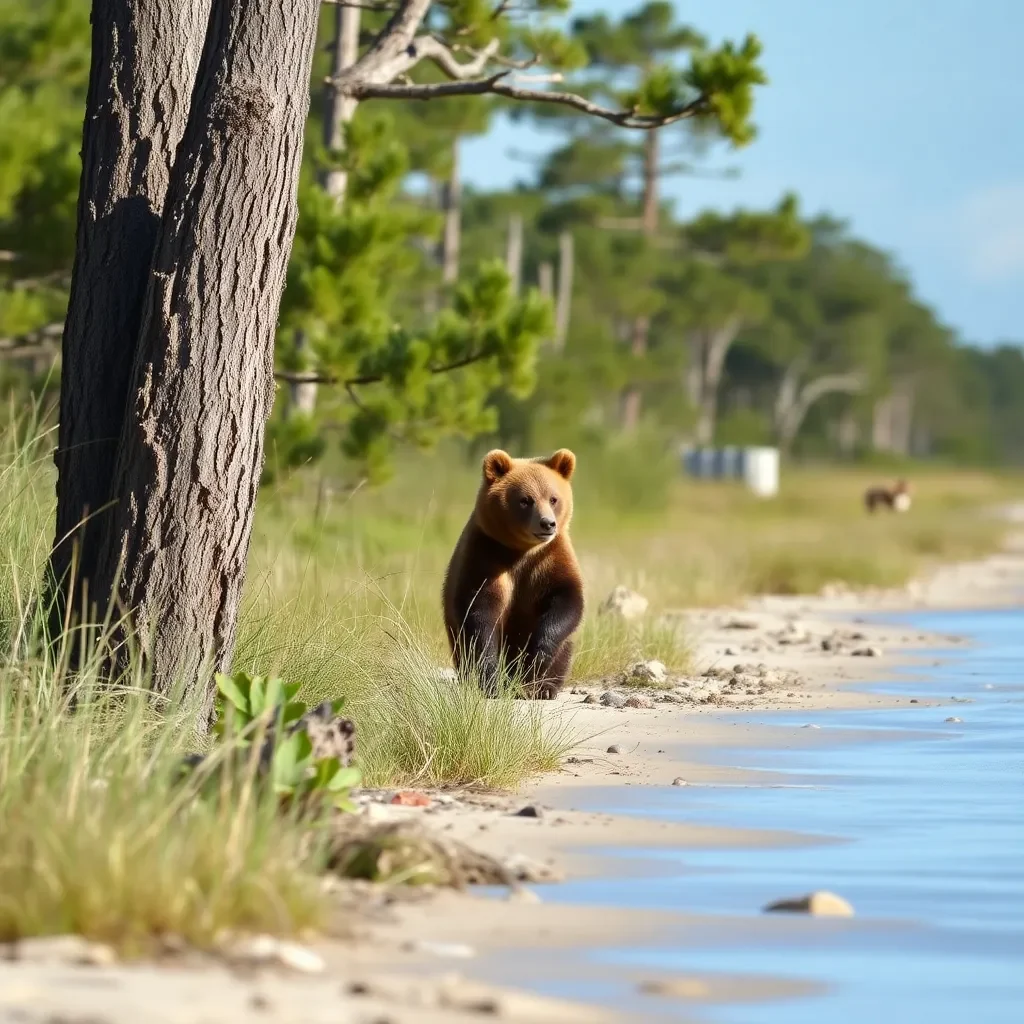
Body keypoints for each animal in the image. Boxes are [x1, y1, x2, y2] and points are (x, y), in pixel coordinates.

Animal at [442, 444, 585, 700]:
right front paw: (491, 681)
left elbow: (566, 600)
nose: (547, 524)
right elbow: (480, 614)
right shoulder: (486, 557)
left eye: (553, 498)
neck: (522, 550)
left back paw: (542, 688)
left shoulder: (550, 558)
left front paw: (536, 657)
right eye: (525, 500)